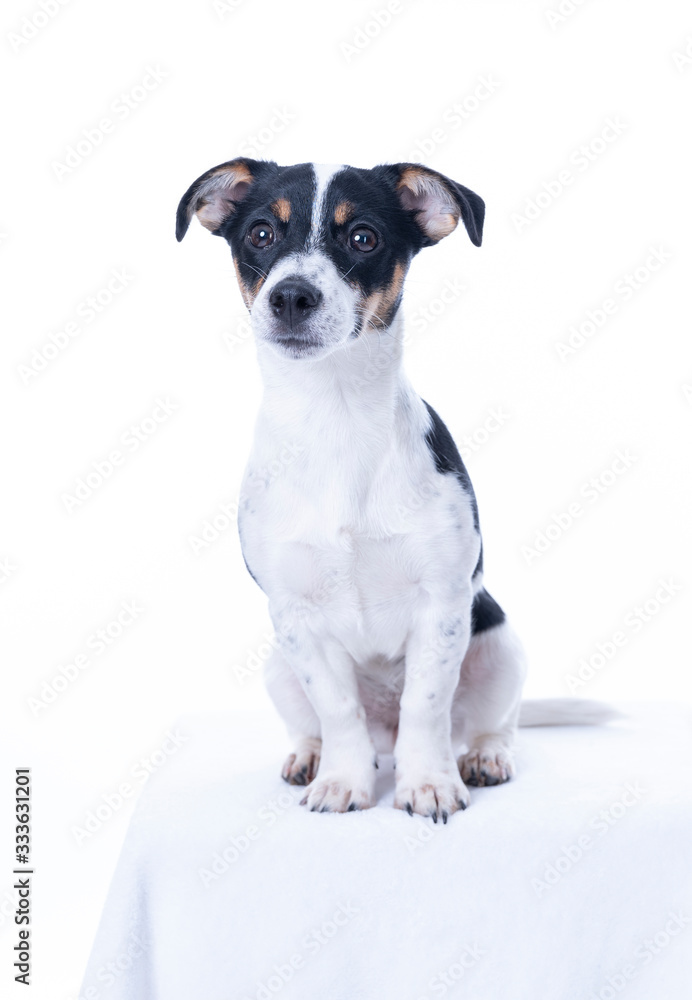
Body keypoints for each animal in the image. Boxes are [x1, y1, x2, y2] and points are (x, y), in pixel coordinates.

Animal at [177, 158, 612, 820]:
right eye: (260, 234)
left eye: (363, 237)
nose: (291, 295)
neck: (335, 419)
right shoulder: (295, 615)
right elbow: (338, 710)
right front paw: (342, 782)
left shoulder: (442, 604)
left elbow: (425, 707)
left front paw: (427, 783)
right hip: (277, 665)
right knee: (322, 723)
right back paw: (311, 757)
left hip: (499, 644)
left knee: (491, 723)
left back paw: (484, 756)